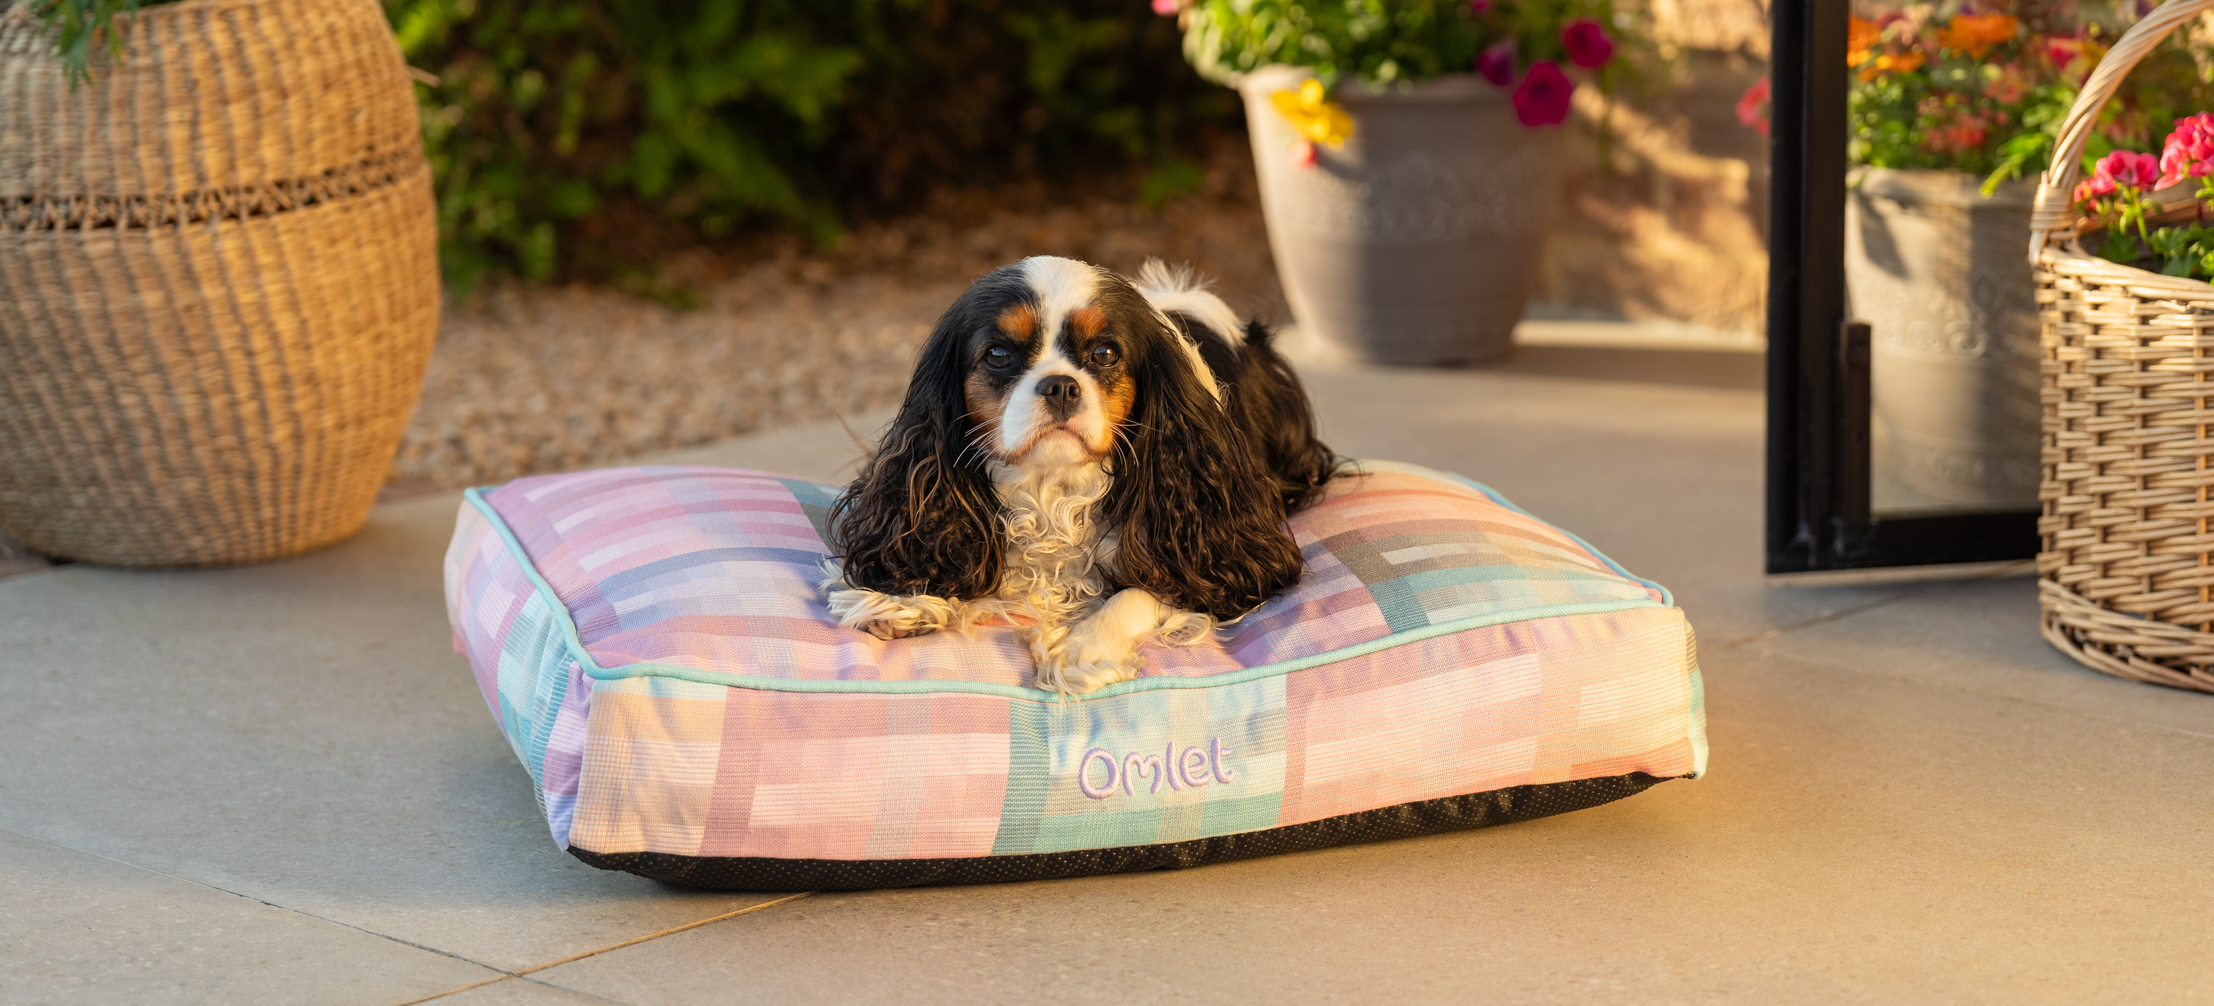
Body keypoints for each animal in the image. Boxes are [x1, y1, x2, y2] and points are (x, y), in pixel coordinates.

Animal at [828, 255, 1328, 691]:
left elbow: (1156, 585)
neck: (1054, 488)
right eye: (998, 354)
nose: (1060, 386)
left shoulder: (1221, 541)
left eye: (1105, 353)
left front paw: (1085, 647)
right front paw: (905, 597)